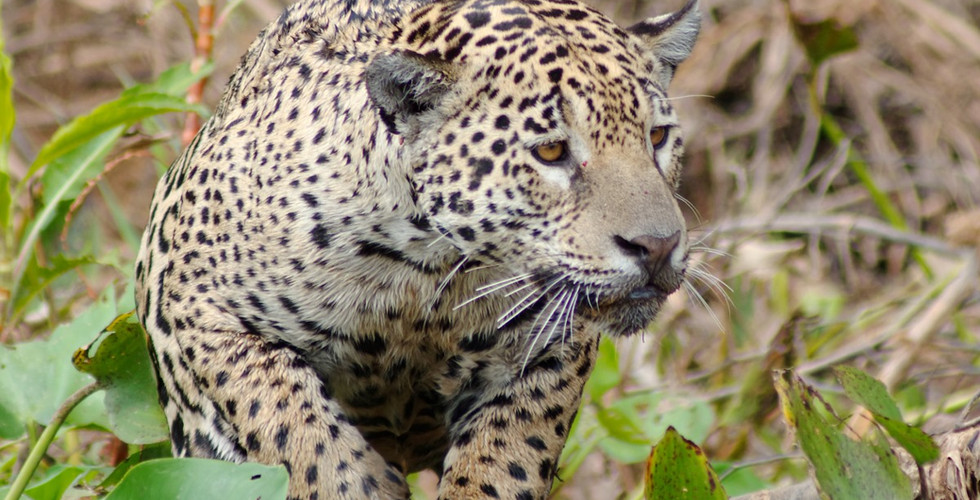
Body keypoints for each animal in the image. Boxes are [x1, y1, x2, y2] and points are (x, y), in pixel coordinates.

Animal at [134, 0, 700, 497]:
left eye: (657, 136)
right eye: (551, 151)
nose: (657, 247)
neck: (427, 268)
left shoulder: (550, 350)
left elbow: (503, 462)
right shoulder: (194, 306)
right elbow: (292, 424)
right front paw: (352, 481)